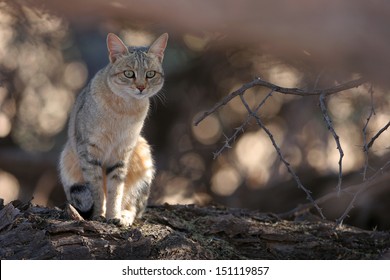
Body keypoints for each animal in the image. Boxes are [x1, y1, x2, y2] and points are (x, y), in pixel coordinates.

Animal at [59, 32, 168, 225]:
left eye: (150, 74)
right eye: (129, 73)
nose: (141, 87)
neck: (124, 110)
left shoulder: (122, 153)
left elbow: (115, 190)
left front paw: (113, 215)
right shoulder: (89, 151)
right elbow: (96, 189)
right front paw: (99, 215)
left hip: (143, 155)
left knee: (136, 207)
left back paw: (125, 216)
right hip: (67, 158)